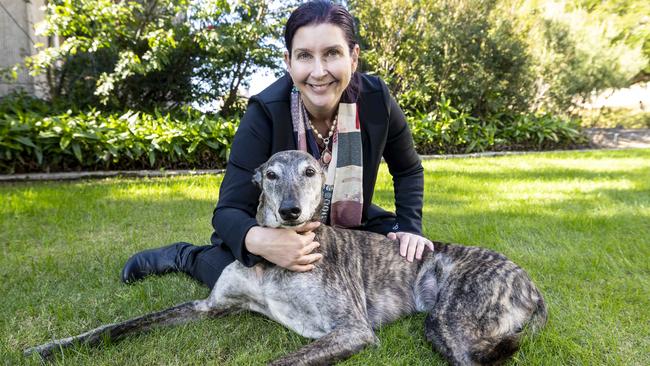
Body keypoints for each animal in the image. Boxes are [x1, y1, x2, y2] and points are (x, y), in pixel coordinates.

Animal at [25, 150, 544, 364]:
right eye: (271, 175)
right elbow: (116, 327)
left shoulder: (351, 330)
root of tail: (531, 285)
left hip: (448, 320)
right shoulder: (207, 306)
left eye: (311, 171)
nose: (291, 211)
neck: (273, 263)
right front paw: (47, 347)